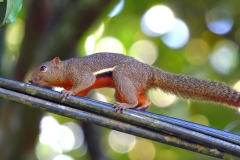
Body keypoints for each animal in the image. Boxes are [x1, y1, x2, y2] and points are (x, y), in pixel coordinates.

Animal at [28, 52, 240, 112]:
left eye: (43, 68)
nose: (30, 79)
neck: (65, 68)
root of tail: (150, 72)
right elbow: (83, 91)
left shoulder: (80, 72)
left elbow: (85, 81)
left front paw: (68, 92)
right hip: (127, 87)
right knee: (143, 99)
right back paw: (141, 106)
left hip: (123, 76)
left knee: (133, 98)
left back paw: (128, 105)